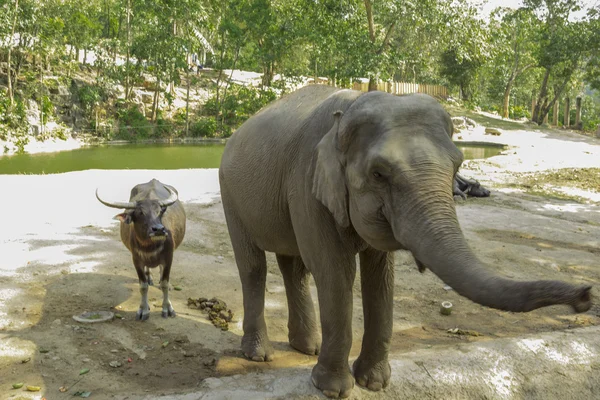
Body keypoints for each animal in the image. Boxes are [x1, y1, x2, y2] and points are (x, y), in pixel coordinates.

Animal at [96, 180, 186, 320]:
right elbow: (143, 286)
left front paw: (167, 308)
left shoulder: (169, 257)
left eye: (160, 211)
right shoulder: (136, 260)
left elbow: (165, 283)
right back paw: (149, 278)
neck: (150, 246)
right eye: (140, 213)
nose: (159, 229)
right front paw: (143, 310)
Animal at [217, 86, 592, 398]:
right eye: (378, 174)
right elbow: (334, 272)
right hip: (230, 192)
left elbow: (381, 277)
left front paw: (374, 383)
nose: (586, 296)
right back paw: (259, 355)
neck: (348, 110)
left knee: (293, 267)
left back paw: (307, 347)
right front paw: (333, 389)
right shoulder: (307, 183)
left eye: (457, 165)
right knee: (254, 267)